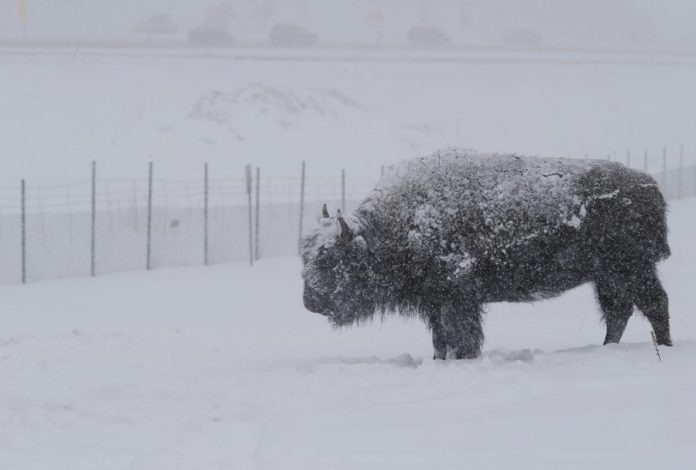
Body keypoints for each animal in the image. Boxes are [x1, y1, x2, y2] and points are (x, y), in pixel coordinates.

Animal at [302, 151, 672, 360]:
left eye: (330, 260)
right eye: (306, 257)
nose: (309, 301)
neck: (392, 227)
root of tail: (649, 185)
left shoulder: (457, 298)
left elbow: (461, 335)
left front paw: (462, 359)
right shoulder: (435, 302)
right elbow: (441, 339)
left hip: (632, 269)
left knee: (654, 304)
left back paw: (664, 348)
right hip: (608, 275)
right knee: (619, 312)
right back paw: (609, 349)